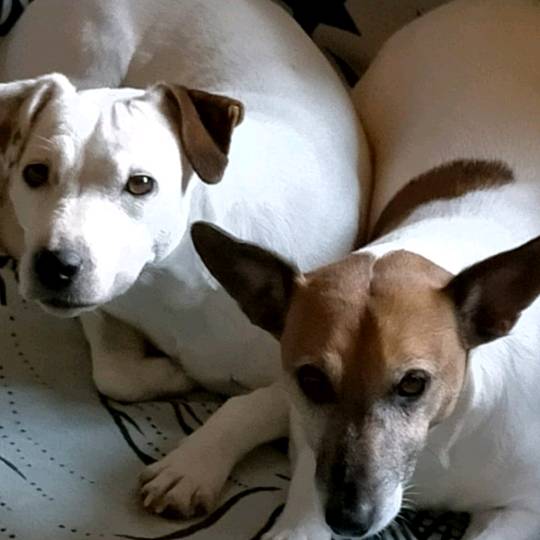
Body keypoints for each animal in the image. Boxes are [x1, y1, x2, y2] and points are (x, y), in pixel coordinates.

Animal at [0, 0, 370, 522]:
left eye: (140, 184)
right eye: (35, 173)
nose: (56, 265)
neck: (172, 285)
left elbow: (250, 405)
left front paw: (191, 465)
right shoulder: (107, 307)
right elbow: (113, 373)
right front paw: (174, 375)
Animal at [190, 1, 540, 538]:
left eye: (413, 384)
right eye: (313, 380)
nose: (348, 519)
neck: (446, 433)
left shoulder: (523, 510)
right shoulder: (310, 471)